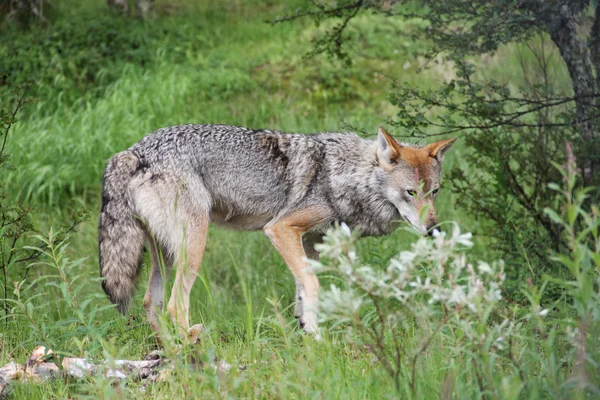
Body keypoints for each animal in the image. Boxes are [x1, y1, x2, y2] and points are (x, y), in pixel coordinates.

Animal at [98, 124, 454, 340]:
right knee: (173, 305)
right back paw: (191, 343)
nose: (434, 230)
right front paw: (317, 335)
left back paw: (170, 348)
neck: (344, 176)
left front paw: (304, 328)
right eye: (411, 193)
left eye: (435, 192)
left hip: (166, 255)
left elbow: (302, 287)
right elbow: (311, 283)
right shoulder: (281, 229)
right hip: (194, 248)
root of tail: (132, 151)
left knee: (150, 302)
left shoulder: (310, 243)